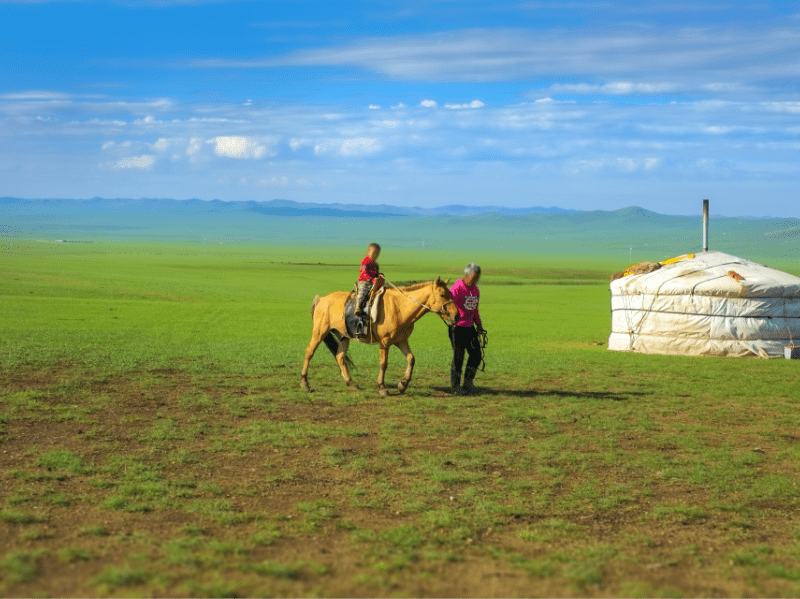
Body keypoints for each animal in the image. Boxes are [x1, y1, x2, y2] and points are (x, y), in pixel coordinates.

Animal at [300, 278, 460, 398]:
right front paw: (383, 388)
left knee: (340, 356)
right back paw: (305, 384)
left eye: (450, 293)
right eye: (442, 295)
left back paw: (351, 383)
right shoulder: (385, 342)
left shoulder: (401, 341)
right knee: (309, 352)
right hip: (320, 332)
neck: (400, 307)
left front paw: (403, 385)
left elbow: (411, 359)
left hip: (344, 336)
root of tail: (322, 299)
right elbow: (383, 364)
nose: (456, 316)